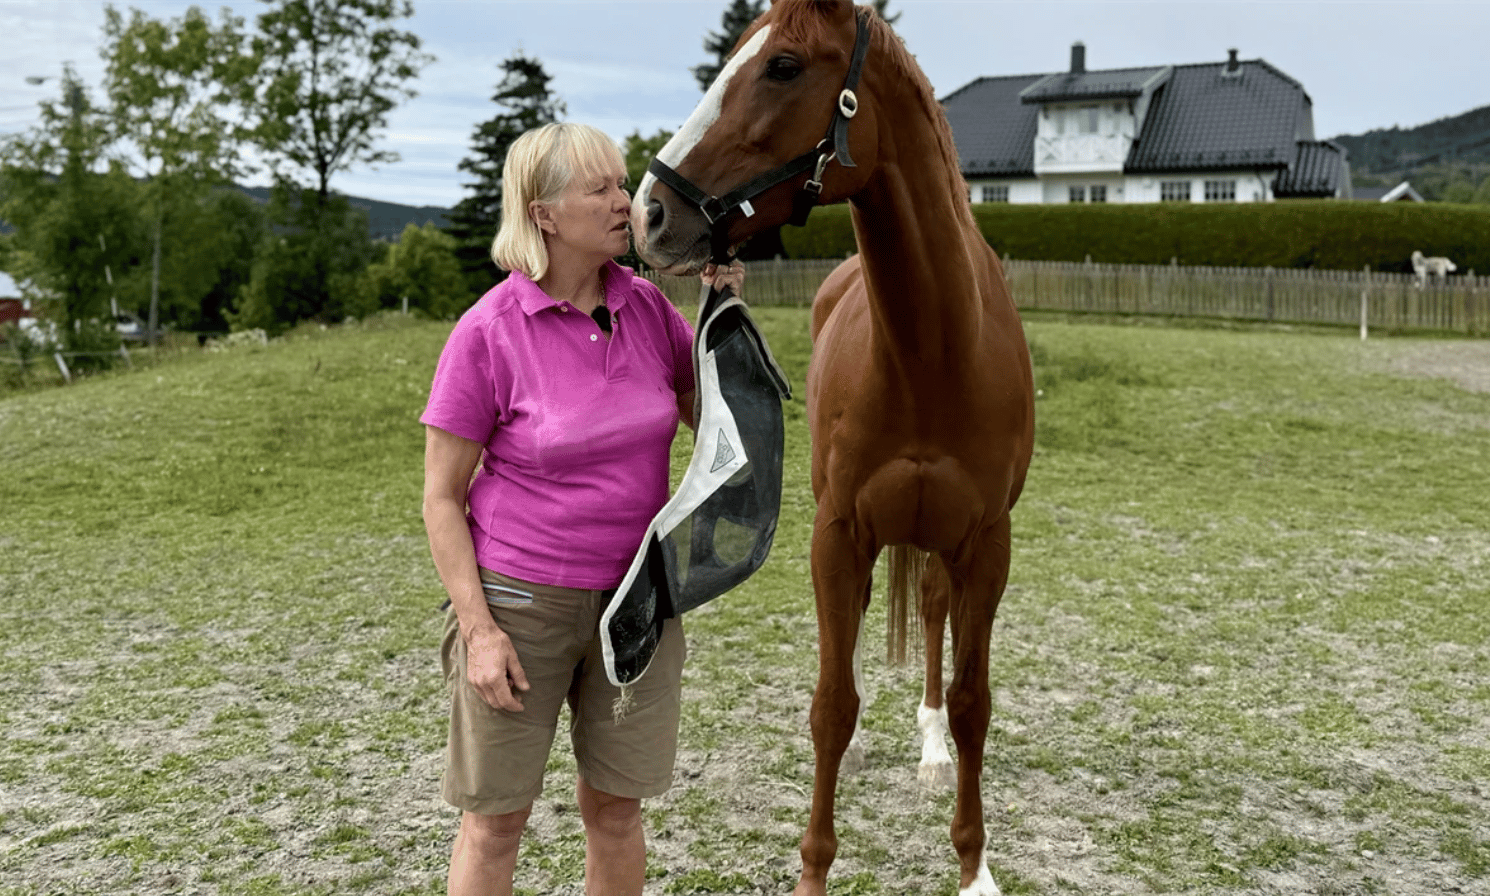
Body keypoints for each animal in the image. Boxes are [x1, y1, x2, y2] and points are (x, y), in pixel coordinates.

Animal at [630, 3, 1034, 894]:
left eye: (782, 66)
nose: (649, 213)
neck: (931, 352)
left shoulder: (987, 545)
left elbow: (973, 702)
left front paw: (974, 865)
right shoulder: (838, 537)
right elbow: (831, 705)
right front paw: (813, 868)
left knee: (932, 616)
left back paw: (929, 748)